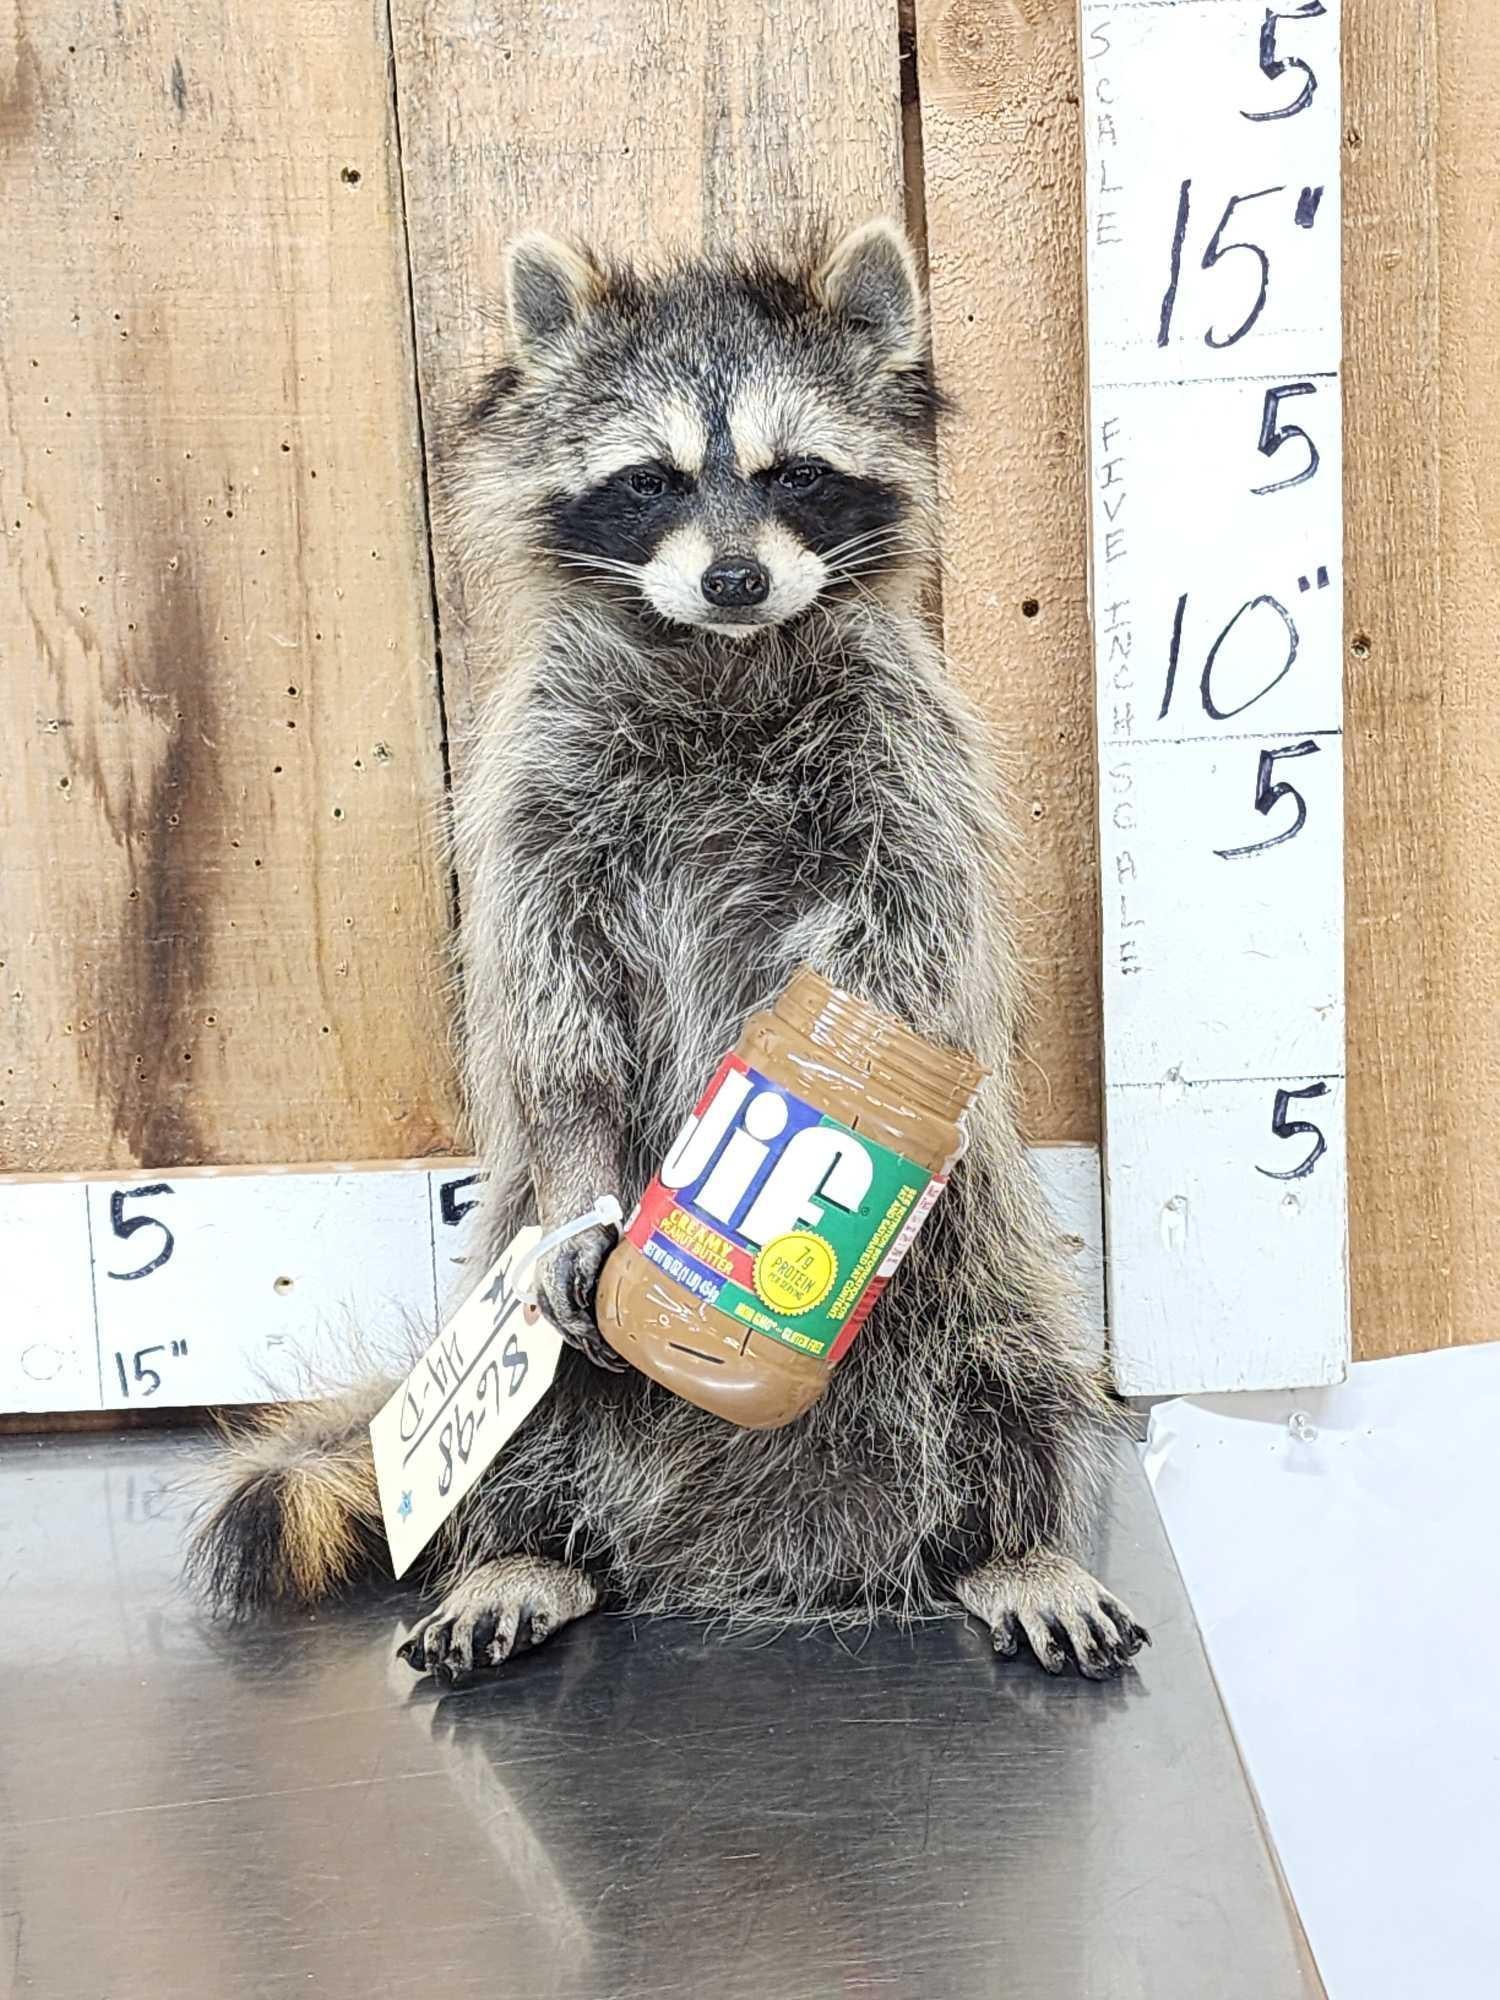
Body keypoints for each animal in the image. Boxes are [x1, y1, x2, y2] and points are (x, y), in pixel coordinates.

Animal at [188, 220, 1148, 1683]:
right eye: (648, 481)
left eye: (794, 473)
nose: (735, 577)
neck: (717, 655)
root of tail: (732, 1556)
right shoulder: (540, 787)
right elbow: (556, 1017)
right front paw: (599, 1178)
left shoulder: (905, 760)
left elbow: (911, 957)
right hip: (512, 1309)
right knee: (524, 1403)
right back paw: (523, 1546)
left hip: (977, 1273)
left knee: (1015, 1372)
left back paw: (1010, 1542)